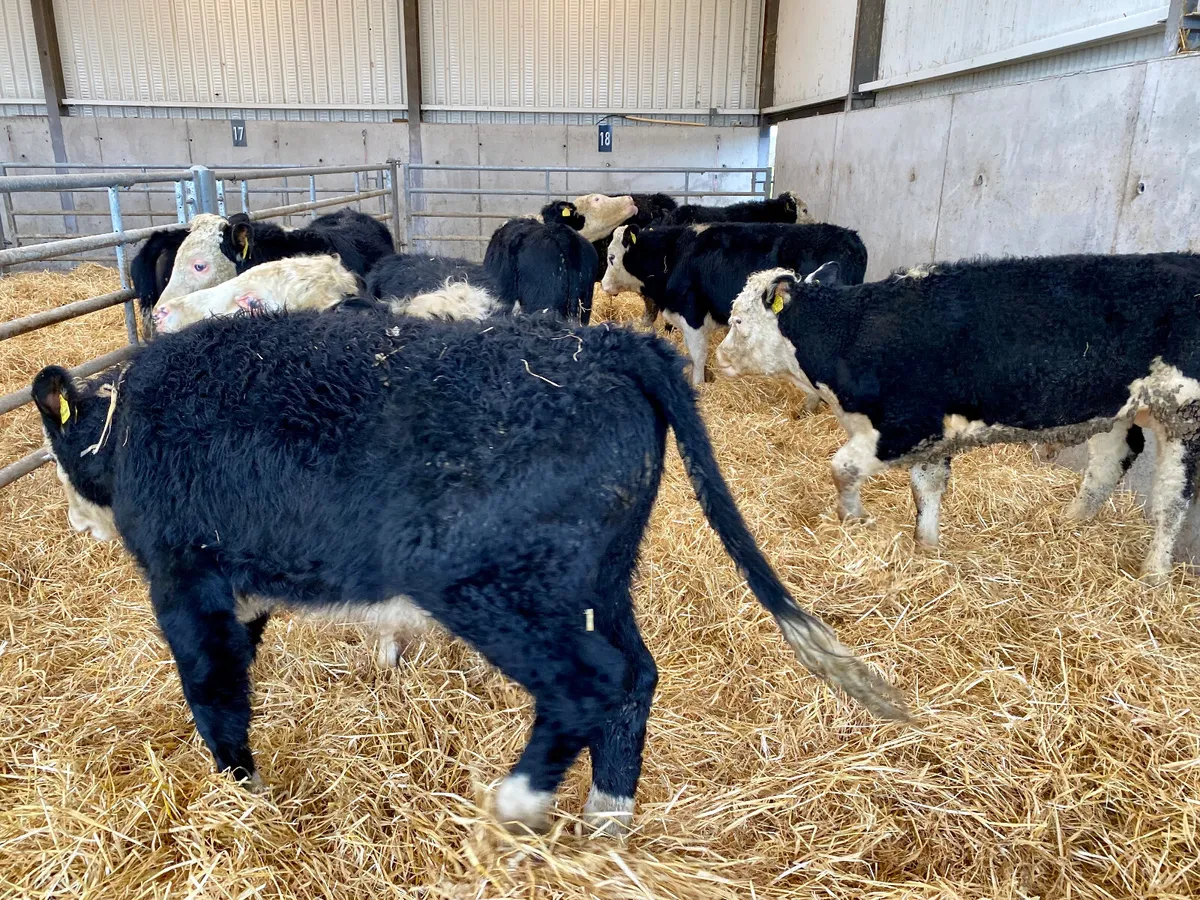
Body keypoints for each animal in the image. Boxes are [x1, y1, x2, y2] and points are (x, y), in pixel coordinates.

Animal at [33, 310, 906, 834]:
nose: (73, 523)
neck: (124, 426)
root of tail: (609, 344)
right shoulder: (240, 591)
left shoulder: (184, 581)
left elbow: (214, 692)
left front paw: (239, 798)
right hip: (594, 579)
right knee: (636, 675)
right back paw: (606, 820)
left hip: (479, 579)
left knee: (590, 681)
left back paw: (520, 801)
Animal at [601, 222, 868, 387]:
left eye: (611, 258)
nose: (603, 284)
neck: (673, 254)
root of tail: (852, 239)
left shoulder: (692, 314)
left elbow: (697, 355)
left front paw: (699, 384)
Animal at [713, 255, 1200, 583]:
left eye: (736, 321)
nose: (719, 357)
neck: (851, 333)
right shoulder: (932, 438)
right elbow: (926, 490)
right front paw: (927, 548)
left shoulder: (906, 427)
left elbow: (842, 468)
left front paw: (854, 518)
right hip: (1116, 411)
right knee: (1109, 463)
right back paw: (1070, 523)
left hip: (1183, 416)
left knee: (1171, 500)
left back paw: (1153, 575)